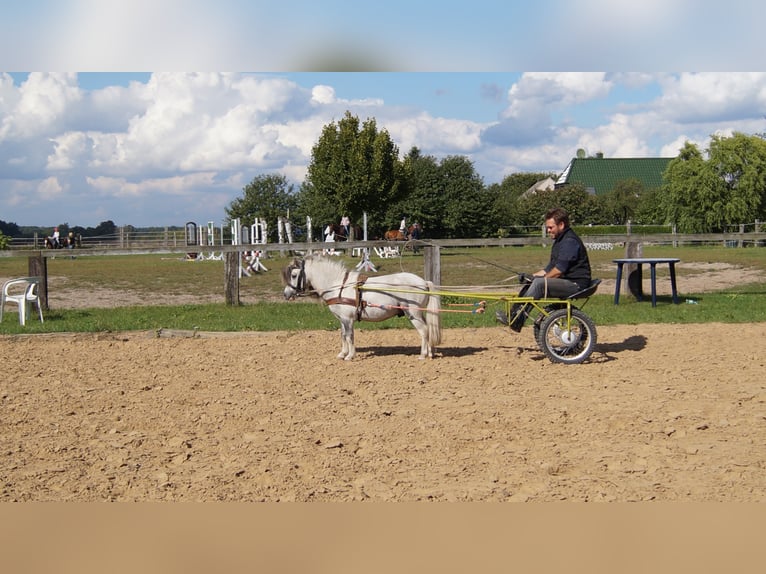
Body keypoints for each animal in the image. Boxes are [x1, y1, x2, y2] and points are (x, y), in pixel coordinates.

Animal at [284, 256, 444, 360]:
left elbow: (349, 336)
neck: (339, 285)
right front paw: (342, 354)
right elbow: (343, 335)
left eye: (294, 275)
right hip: (419, 314)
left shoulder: (347, 319)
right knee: (428, 330)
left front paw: (350, 356)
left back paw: (423, 355)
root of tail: (424, 282)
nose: (286, 294)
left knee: (424, 331)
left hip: (413, 314)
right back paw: (430, 353)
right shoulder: (342, 319)